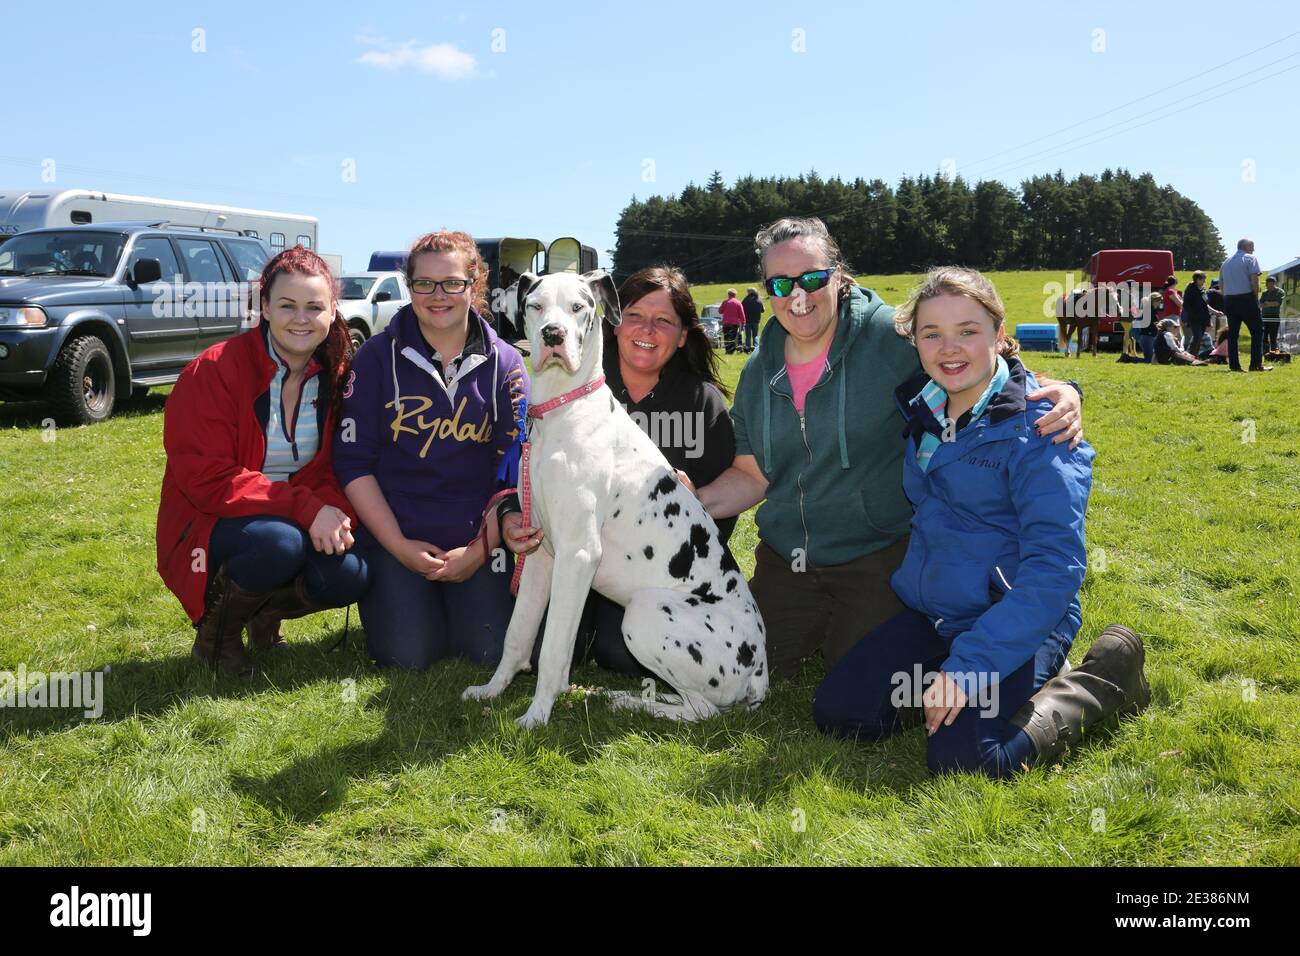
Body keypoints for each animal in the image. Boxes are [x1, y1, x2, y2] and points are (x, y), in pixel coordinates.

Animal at [462, 269, 764, 723]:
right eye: (536, 305)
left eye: (578, 307)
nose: (553, 334)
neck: (563, 409)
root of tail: (761, 672)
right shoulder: (541, 555)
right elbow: (518, 634)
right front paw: (494, 689)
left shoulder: (577, 555)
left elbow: (553, 648)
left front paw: (536, 715)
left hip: (644, 613)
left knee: (702, 711)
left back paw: (634, 702)